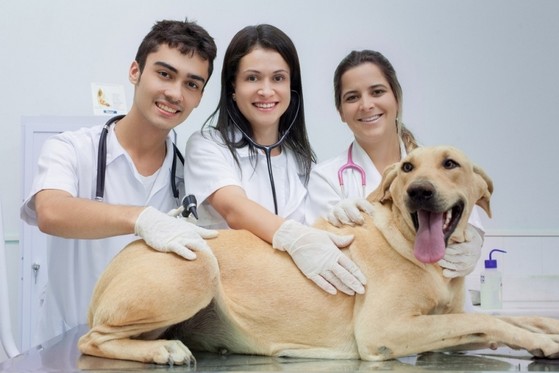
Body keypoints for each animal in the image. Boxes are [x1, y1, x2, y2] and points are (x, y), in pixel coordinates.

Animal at [77, 145, 559, 364]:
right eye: (407, 167)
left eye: (451, 164)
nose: (420, 191)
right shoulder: (384, 332)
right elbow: (489, 321)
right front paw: (542, 341)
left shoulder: (444, 319)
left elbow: (501, 320)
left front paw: (544, 329)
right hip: (196, 272)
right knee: (92, 340)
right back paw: (163, 351)